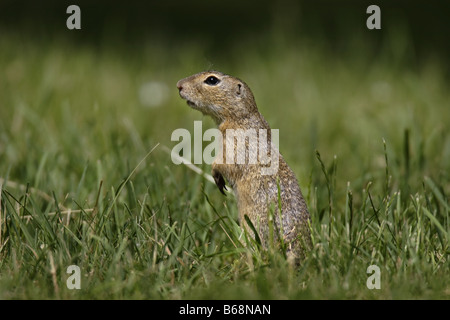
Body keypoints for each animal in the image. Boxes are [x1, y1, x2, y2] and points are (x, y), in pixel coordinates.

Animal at [178, 71, 312, 262]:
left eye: (212, 80)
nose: (179, 85)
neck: (240, 117)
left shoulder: (237, 145)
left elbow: (226, 163)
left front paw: (216, 175)